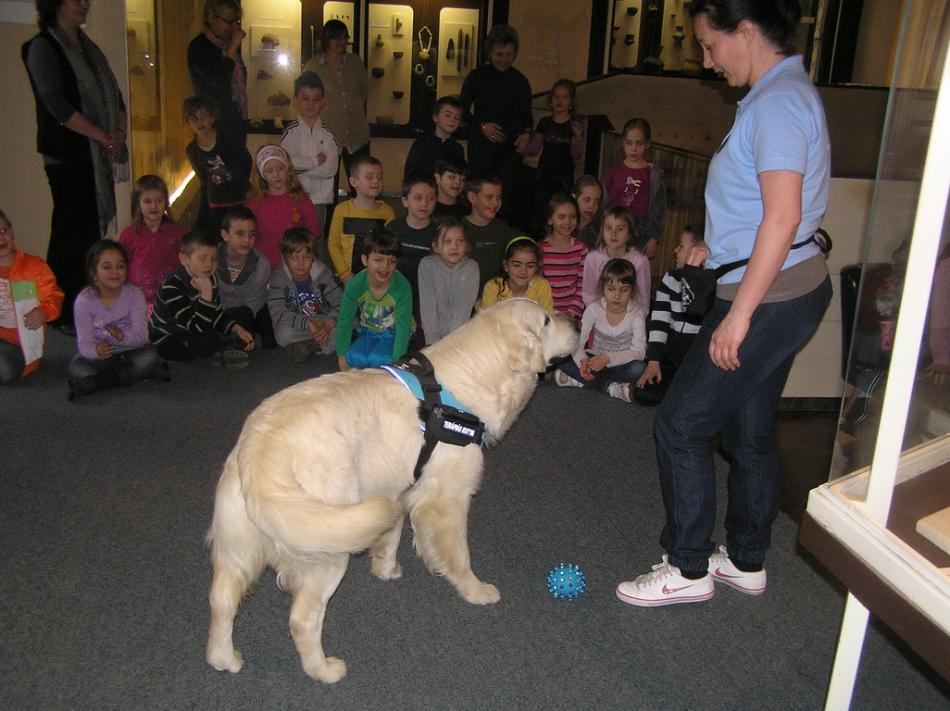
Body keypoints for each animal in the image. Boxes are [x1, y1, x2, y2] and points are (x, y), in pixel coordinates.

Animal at [205, 299, 577, 683]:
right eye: (546, 321)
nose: (577, 323)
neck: (464, 384)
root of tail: (258, 448)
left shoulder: (399, 489)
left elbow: (392, 534)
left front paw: (385, 568)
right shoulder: (446, 501)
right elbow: (458, 555)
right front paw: (475, 590)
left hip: (239, 544)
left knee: (221, 600)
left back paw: (224, 658)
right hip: (326, 545)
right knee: (302, 618)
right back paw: (324, 670)